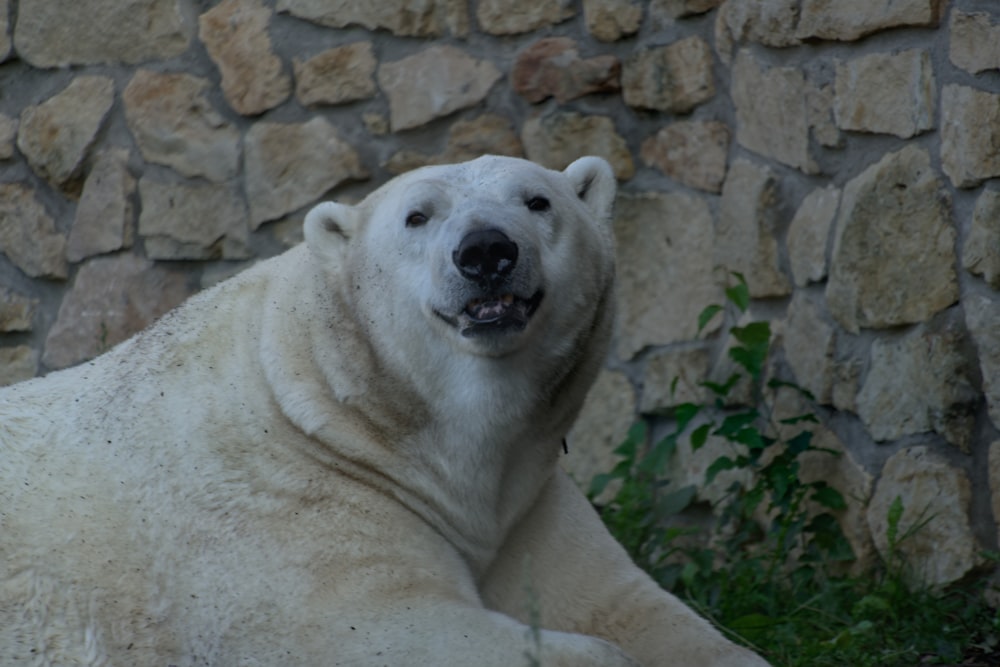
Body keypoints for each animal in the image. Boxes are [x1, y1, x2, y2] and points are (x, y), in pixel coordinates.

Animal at [0, 155, 768, 667]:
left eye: (537, 201)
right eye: (417, 215)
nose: (486, 251)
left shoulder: (527, 500)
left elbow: (630, 606)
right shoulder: (287, 511)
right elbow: (384, 624)